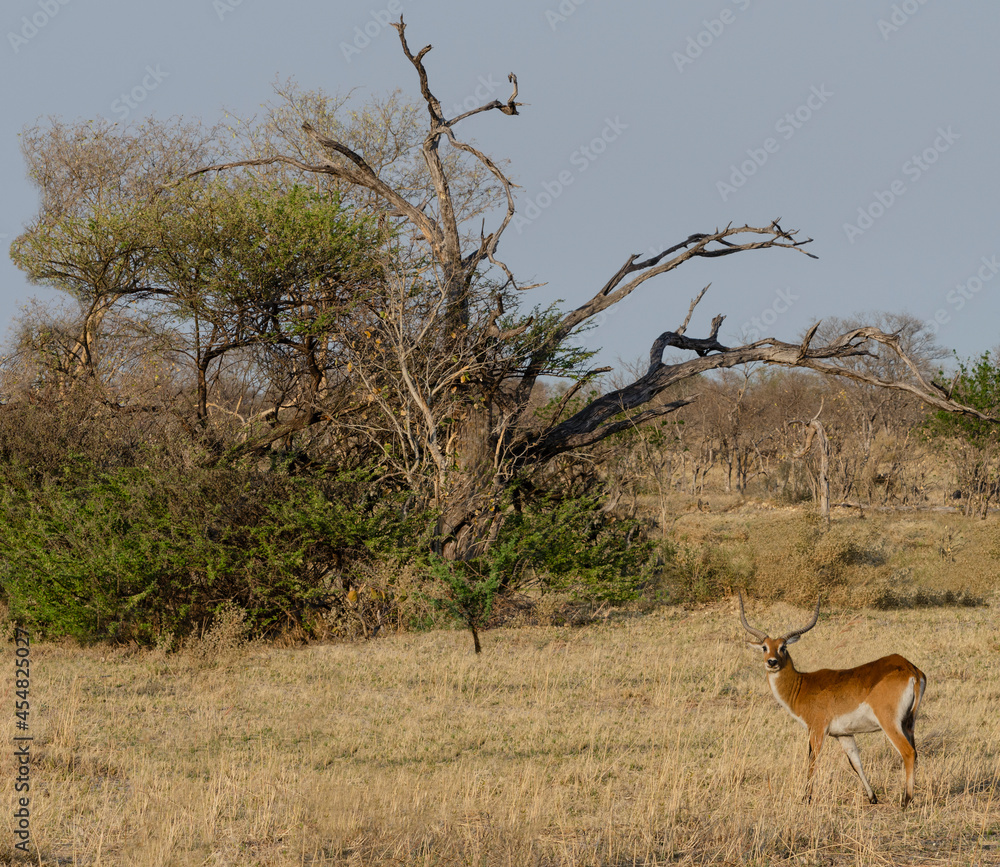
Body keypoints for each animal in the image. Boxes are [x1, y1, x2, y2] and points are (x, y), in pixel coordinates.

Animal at [738, 593, 926, 808]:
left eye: (783, 647)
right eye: (764, 647)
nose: (772, 662)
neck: (802, 686)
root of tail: (910, 669)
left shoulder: (817, 729)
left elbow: (812, 761)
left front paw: (806, 798)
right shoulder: (843, 734)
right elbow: (856, 763)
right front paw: (872, 798)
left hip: (890, 723)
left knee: (908, 753)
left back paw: (906, 801)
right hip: (909, 724)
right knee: (915, 751)